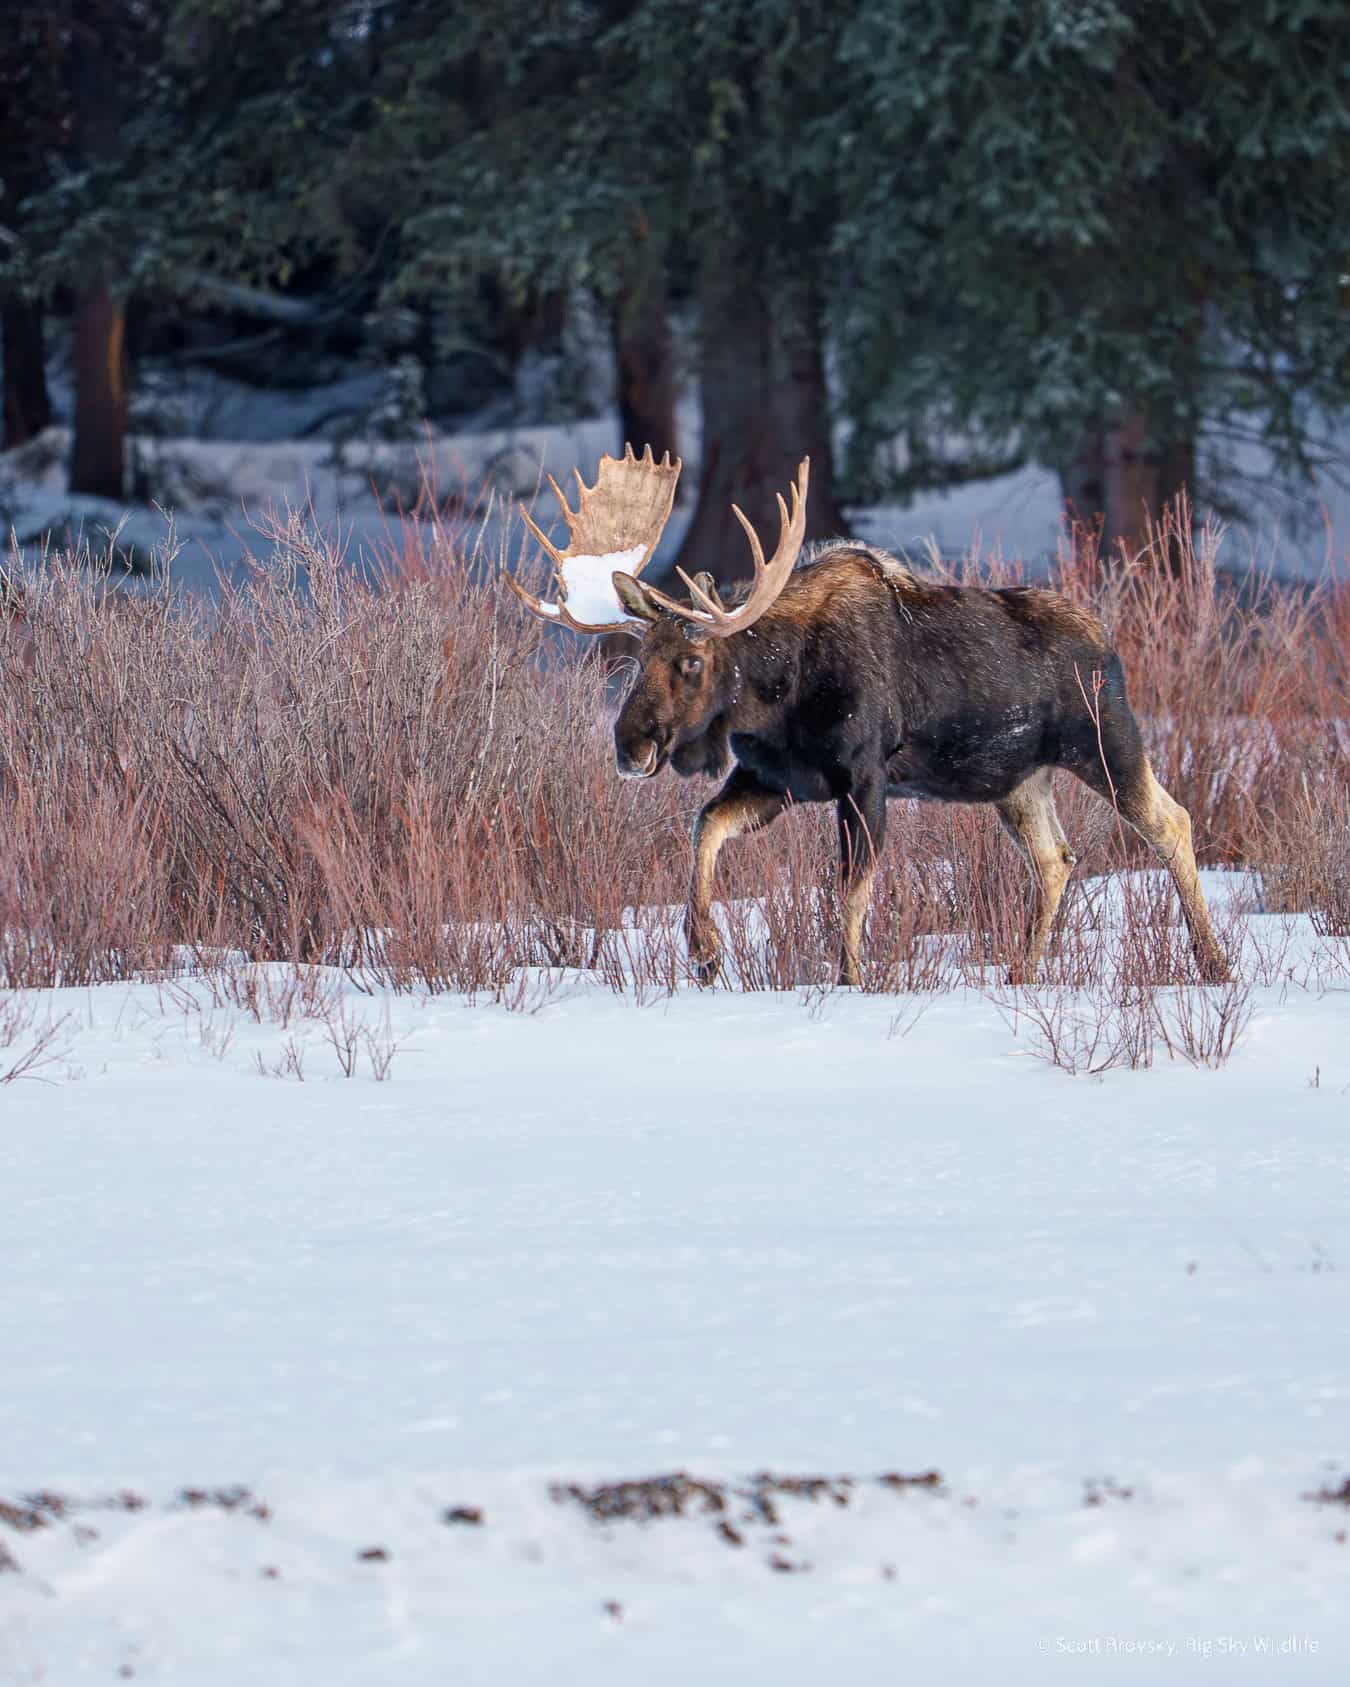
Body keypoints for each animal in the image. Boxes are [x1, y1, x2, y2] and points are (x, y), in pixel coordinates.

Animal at [507, 444, 1230, 989]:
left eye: (691, 659)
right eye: (636, 658)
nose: (630, 745)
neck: (780, 697)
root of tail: (1109, 639)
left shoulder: (864, 777)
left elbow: (851, 889)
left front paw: (850, 978)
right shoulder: (776, 779)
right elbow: (705, 827)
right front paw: (705, 951)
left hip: (1105, 739)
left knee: (1171, 820)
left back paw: (1214, 962)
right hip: (1020, 780)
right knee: (1056, 857)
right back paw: (1024, 971)